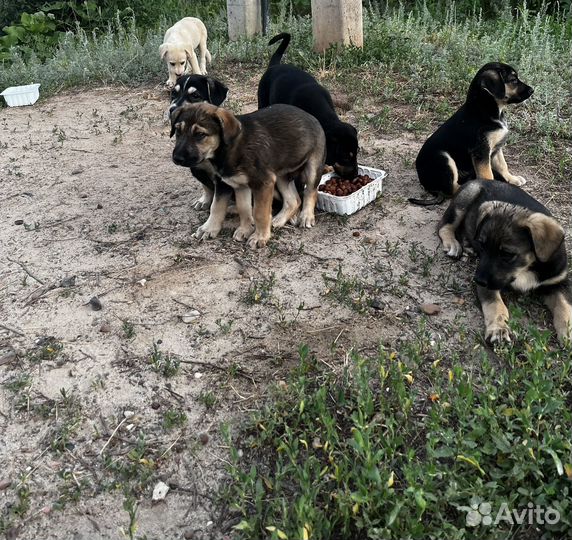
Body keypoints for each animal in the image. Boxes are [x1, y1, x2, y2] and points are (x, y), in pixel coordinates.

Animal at [170, 103, 326, 249]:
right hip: (281, 175)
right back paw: (278, 220)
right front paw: (233, 229)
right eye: (177, 131)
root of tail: (311, 116)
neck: (229, 149)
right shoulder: (234, 184)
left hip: (313, 167)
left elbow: (259, 212)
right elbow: (233, 207)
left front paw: (259, 237)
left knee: (310, 191)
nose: (177, 158)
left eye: (200, 134)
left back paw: (306, 216)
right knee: (294, 200)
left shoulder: (263, 183)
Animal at [412, 62, 532, 205]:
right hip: (443, 158)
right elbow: (488, 174)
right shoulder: (481, 151)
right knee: (453, 189)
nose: (532, 90)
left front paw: (512, 179)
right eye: (513, 80)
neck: (485, 109)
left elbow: (503, 165)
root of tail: (426, 184)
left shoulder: (497, 147)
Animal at [438, 179, 568, 344]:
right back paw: (453, 243)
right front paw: (498, 328)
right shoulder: (489, 286)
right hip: (465, 199)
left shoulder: (558, 282)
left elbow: (564, 306)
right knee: (444, 225)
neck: (527, 267)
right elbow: (495, 304)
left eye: (507, 254)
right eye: (483, 245)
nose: (477, 280)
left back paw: (468, 245)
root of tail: (482, 180)